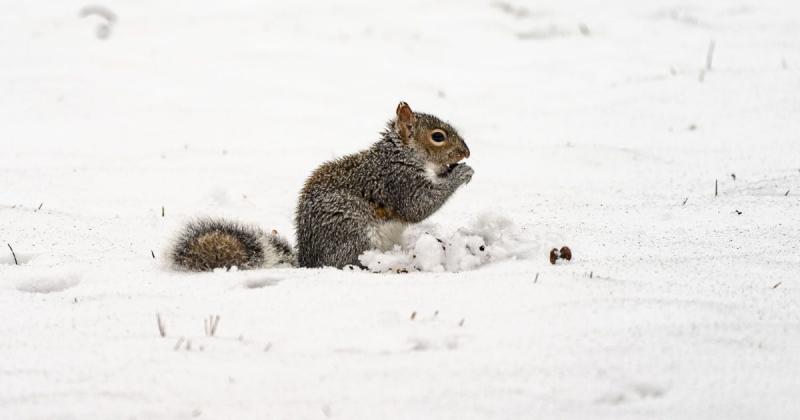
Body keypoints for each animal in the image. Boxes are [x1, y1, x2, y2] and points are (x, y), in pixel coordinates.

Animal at [168, 103, 468, 270]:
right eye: (438, 137)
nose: (466, 152)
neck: (402, 155)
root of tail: (308, 261)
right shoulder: (397, 181)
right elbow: (418, 206)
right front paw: (462, 173)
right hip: (351, 232)